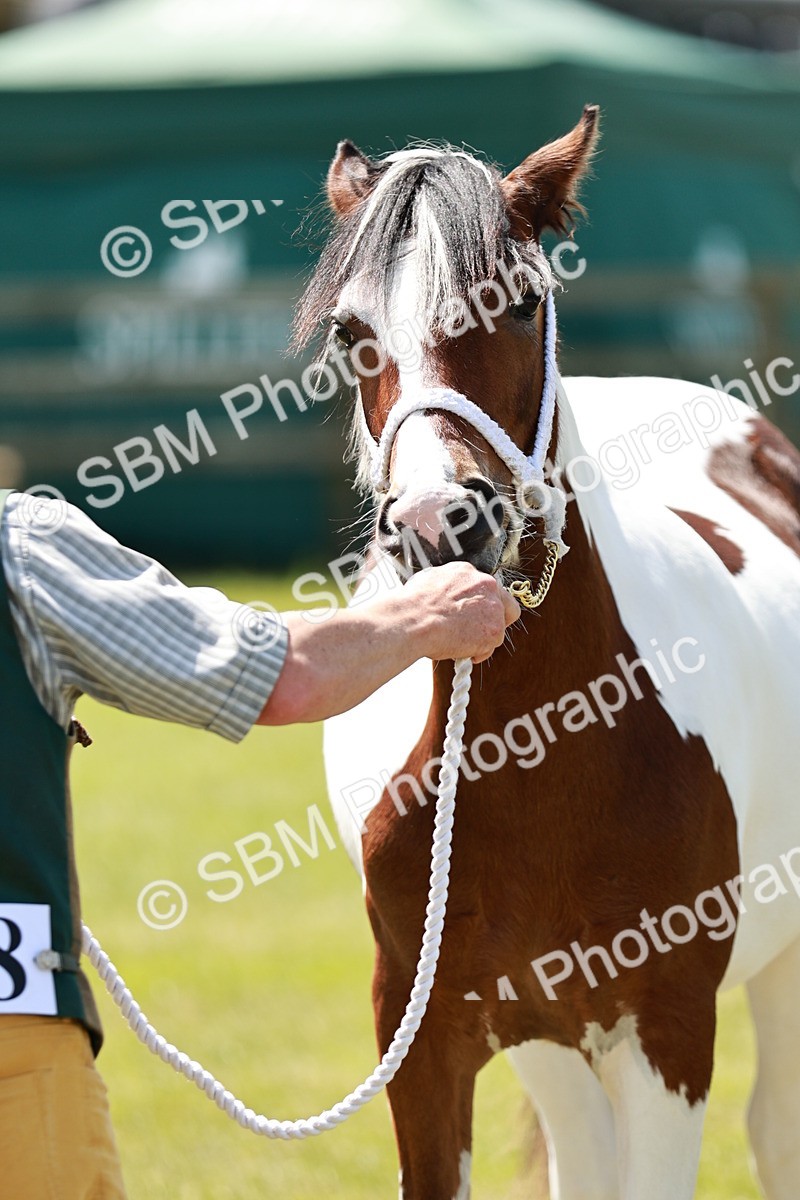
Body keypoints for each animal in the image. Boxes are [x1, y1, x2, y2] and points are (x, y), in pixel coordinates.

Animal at [293, 106, 800, 1199]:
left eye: (520, 303)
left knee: (776, 1131)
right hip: (550, 1042)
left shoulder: (666, 1033)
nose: (441, 522)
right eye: (351, 333)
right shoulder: (425, 1036)